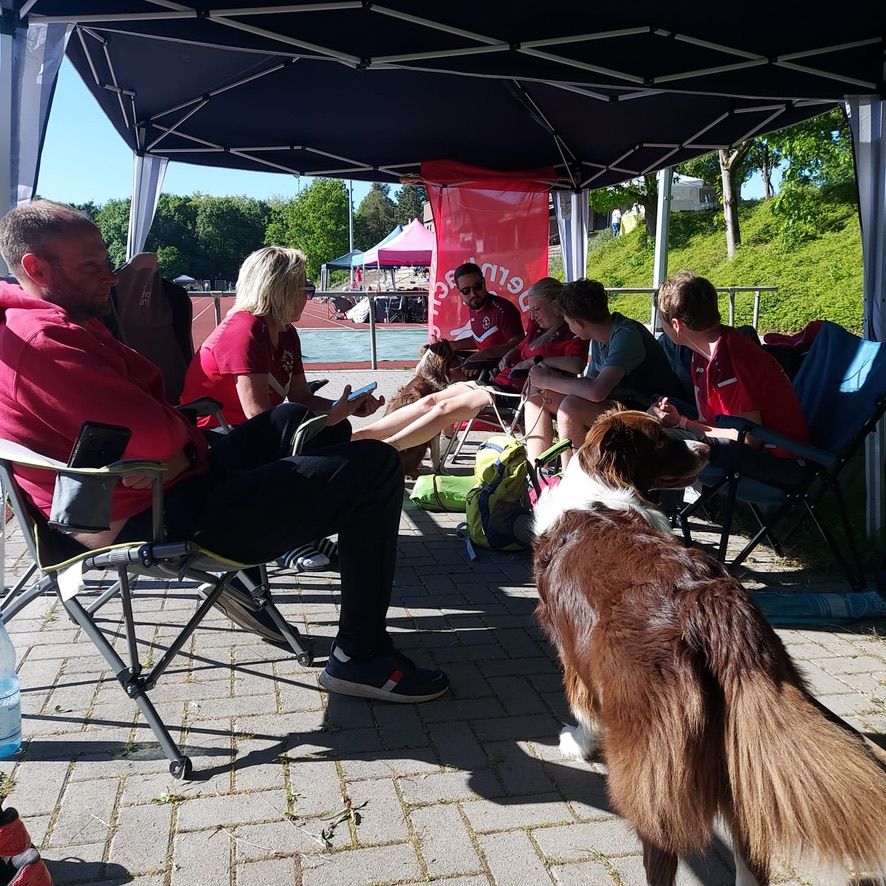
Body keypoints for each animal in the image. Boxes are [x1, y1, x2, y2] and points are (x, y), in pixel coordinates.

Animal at [384, 339, 465, 477]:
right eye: (453, 354)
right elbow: (435, 454)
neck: (428, 375)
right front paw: (439, 469)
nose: (463, 359)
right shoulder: (435, 427)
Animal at [533, 409, 886, 886]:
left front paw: (577, 742)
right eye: (661, 437)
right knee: (751, 855)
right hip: (744, 749)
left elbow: (581, 704)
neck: (601, 489)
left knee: (663, 851)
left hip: (654, 770)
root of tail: (709, 601)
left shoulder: (572, 652)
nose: (708, 448)